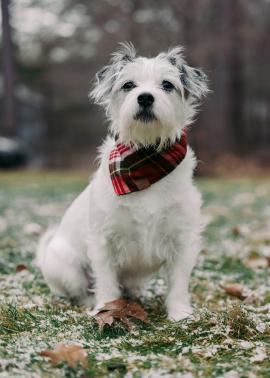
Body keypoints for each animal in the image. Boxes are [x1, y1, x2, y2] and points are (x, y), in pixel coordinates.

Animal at [35, 42, 209, 320]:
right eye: (128, 85)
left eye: (167, 84)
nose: (145, 97)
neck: (146, 160)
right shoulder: (103, 241)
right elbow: (106, 282)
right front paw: (106, 309)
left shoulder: (183, 238)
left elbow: (179, 282)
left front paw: (180, 314)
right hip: (66, 267)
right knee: (79, 291)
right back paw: (91, 302)